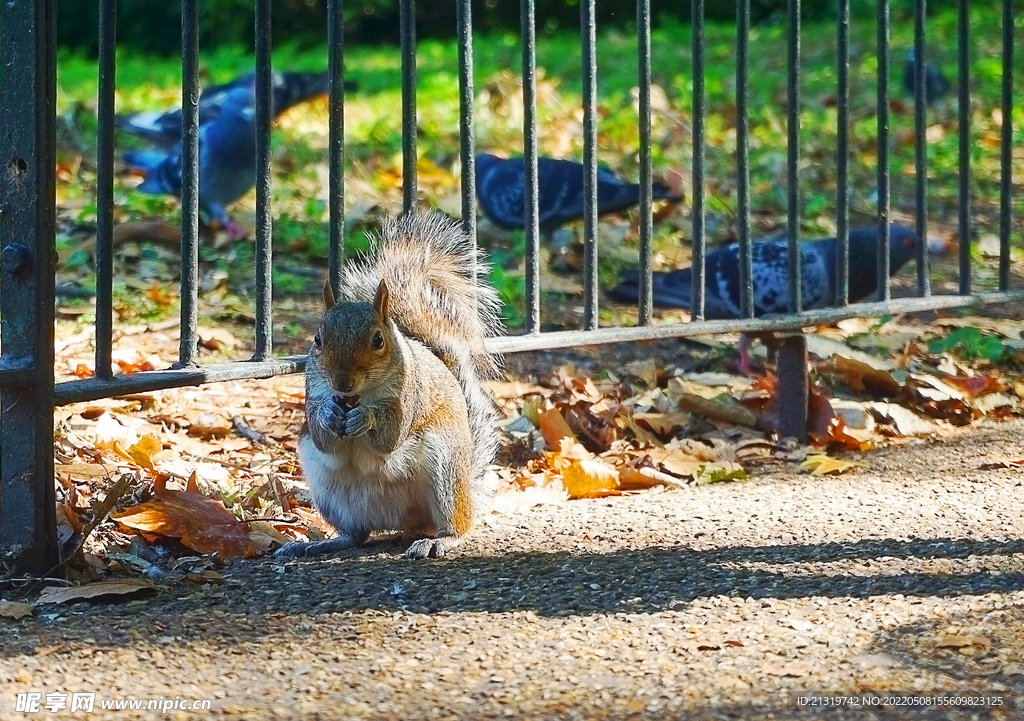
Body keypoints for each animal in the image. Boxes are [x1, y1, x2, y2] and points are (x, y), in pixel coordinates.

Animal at [276, 210, 503, 561]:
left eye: (378, 341)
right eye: (317, 339)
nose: (342, 382)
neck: (358, 396)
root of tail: (401, 521)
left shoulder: (408, 397)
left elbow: (390, 437)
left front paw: (366, 418)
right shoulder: (314, 392)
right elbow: (322, 436)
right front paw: (328, 414)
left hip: (446, 471)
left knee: (458, 525)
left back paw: (439, 541)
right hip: (329, 492)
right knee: (355, 536)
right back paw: (316, 544)